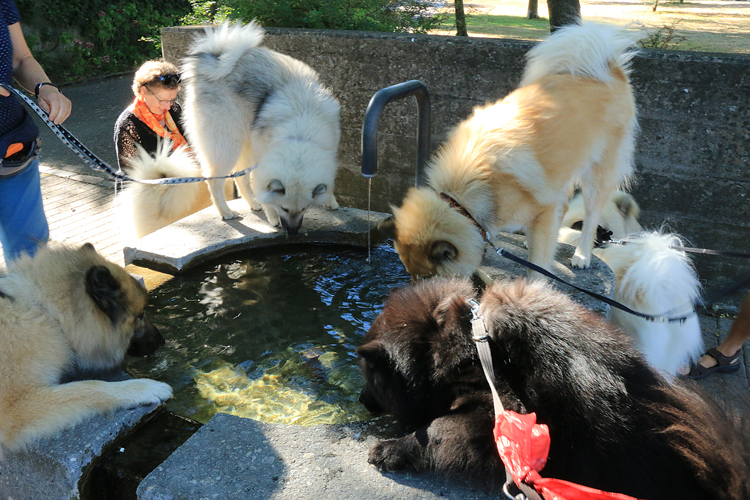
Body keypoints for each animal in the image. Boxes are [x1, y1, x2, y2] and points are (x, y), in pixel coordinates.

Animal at [184, 22, 342, 234]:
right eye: (284, 208)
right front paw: (272, 217)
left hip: (246, 145)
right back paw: (226, 212)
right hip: (227, 146)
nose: (292, 233)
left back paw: (253, 203)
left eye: (304, 208)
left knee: (239, 176)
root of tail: (214, 61)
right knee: (214, 180)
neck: (299, 135)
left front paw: (331, 201)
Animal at [382, 23, 640, 280]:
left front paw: (535, 284)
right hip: (563, 168)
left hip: (596, 176)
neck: (465, 197)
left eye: (427, 277)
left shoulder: (544, 207)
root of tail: (609, 69)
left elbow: (538, 265)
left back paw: (582, 256)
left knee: (591, 216)